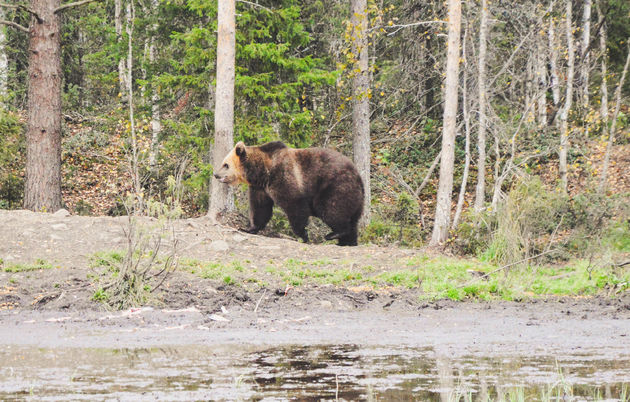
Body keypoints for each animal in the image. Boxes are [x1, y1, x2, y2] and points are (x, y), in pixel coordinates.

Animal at [216, 141, 366, 248]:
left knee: (331, 209)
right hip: (355, 198)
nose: (215, 174)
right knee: (353, 220)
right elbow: (260, 208)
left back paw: (333, 234)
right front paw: (248, 228)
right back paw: (347, 241)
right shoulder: (260, 188)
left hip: (336, 186)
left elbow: (295, 205)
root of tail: (359, 177)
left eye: (226, 165)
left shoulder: (283, 176)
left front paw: (303, 235)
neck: (262, 171)